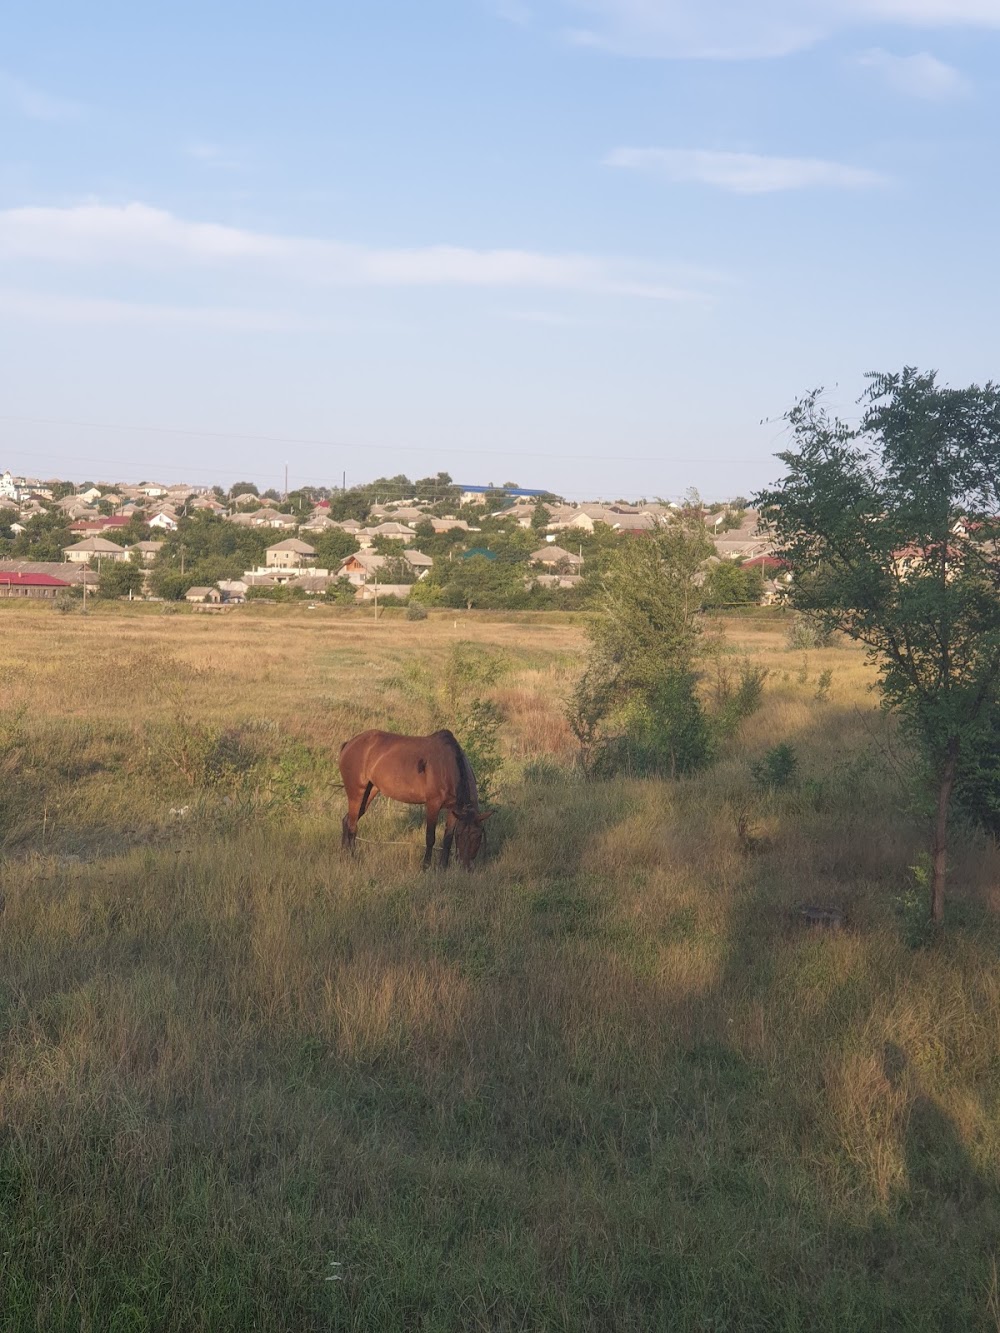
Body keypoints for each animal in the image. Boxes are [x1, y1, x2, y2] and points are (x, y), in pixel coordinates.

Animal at [338, 735, 496, 869]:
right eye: (460, 835)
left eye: (478, 836)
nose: (466, 867)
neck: (448, 765)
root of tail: (349, 744)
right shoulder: (433, 805)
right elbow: (430, 837)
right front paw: (425, 866)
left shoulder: (454, 809)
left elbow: (447, 839)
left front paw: (442, 868)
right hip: (356, 793)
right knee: (352, 825)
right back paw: (353, 858)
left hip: (369, 792)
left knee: (347, 820)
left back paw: (344, 856)